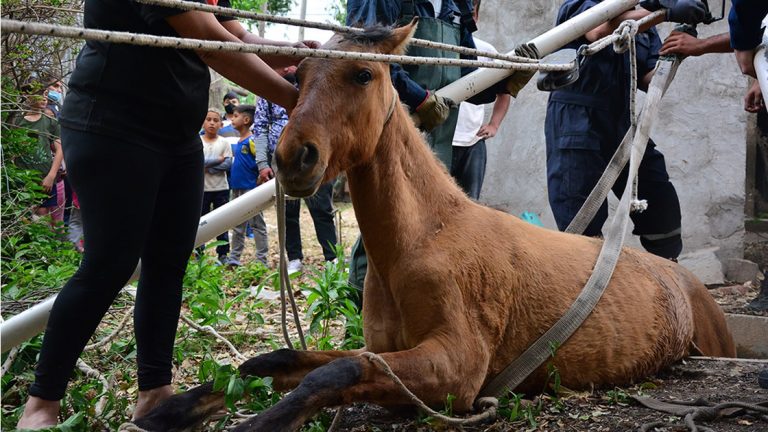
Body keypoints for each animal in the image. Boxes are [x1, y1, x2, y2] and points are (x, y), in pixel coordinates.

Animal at [133, 20, 735, 432]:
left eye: (363, 73)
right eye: (299, 75)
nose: (291, 159)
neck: (424, 240)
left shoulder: (457, 371)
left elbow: (333, 375)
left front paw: (259, 422)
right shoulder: (385, 350)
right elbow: (279, 360)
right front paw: (177, 408)